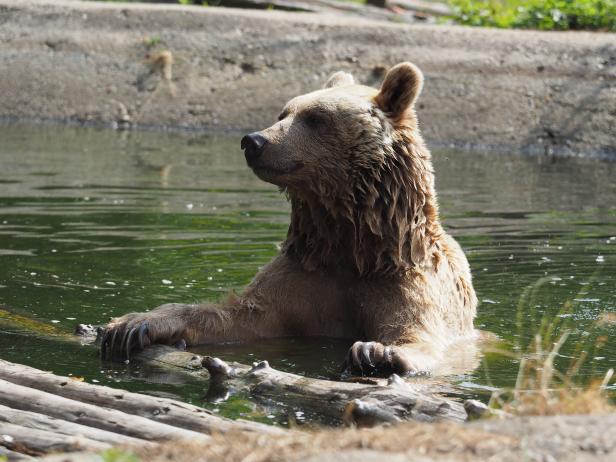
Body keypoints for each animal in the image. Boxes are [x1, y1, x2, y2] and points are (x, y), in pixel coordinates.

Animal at [100, 62, 476, 376]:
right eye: (284, 111)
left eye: (316, 118)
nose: (253, 141)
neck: (352, 246)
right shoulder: (303, 279)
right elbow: (238, 316)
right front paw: (133, 324)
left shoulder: (405, 282)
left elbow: (417, 329)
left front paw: (377, 351)